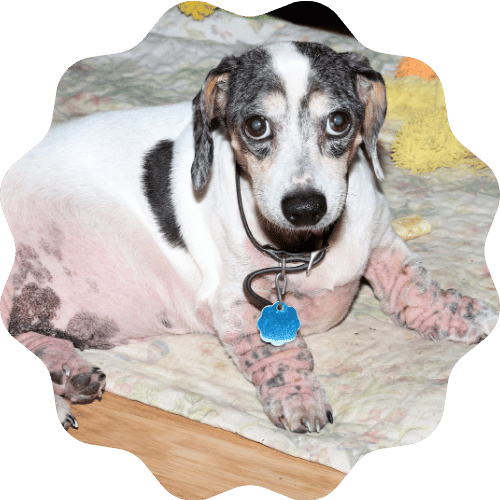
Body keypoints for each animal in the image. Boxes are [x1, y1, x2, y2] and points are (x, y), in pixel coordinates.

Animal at [0, 43, 496, 434]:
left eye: (338, 121)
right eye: (256, 126)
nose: (305, 206)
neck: (302, 249)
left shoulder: (381, 242)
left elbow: (417, 286)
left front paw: (465, 313)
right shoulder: (236, 304)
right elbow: (282, 353)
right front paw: (300, 397)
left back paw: (68, 369)